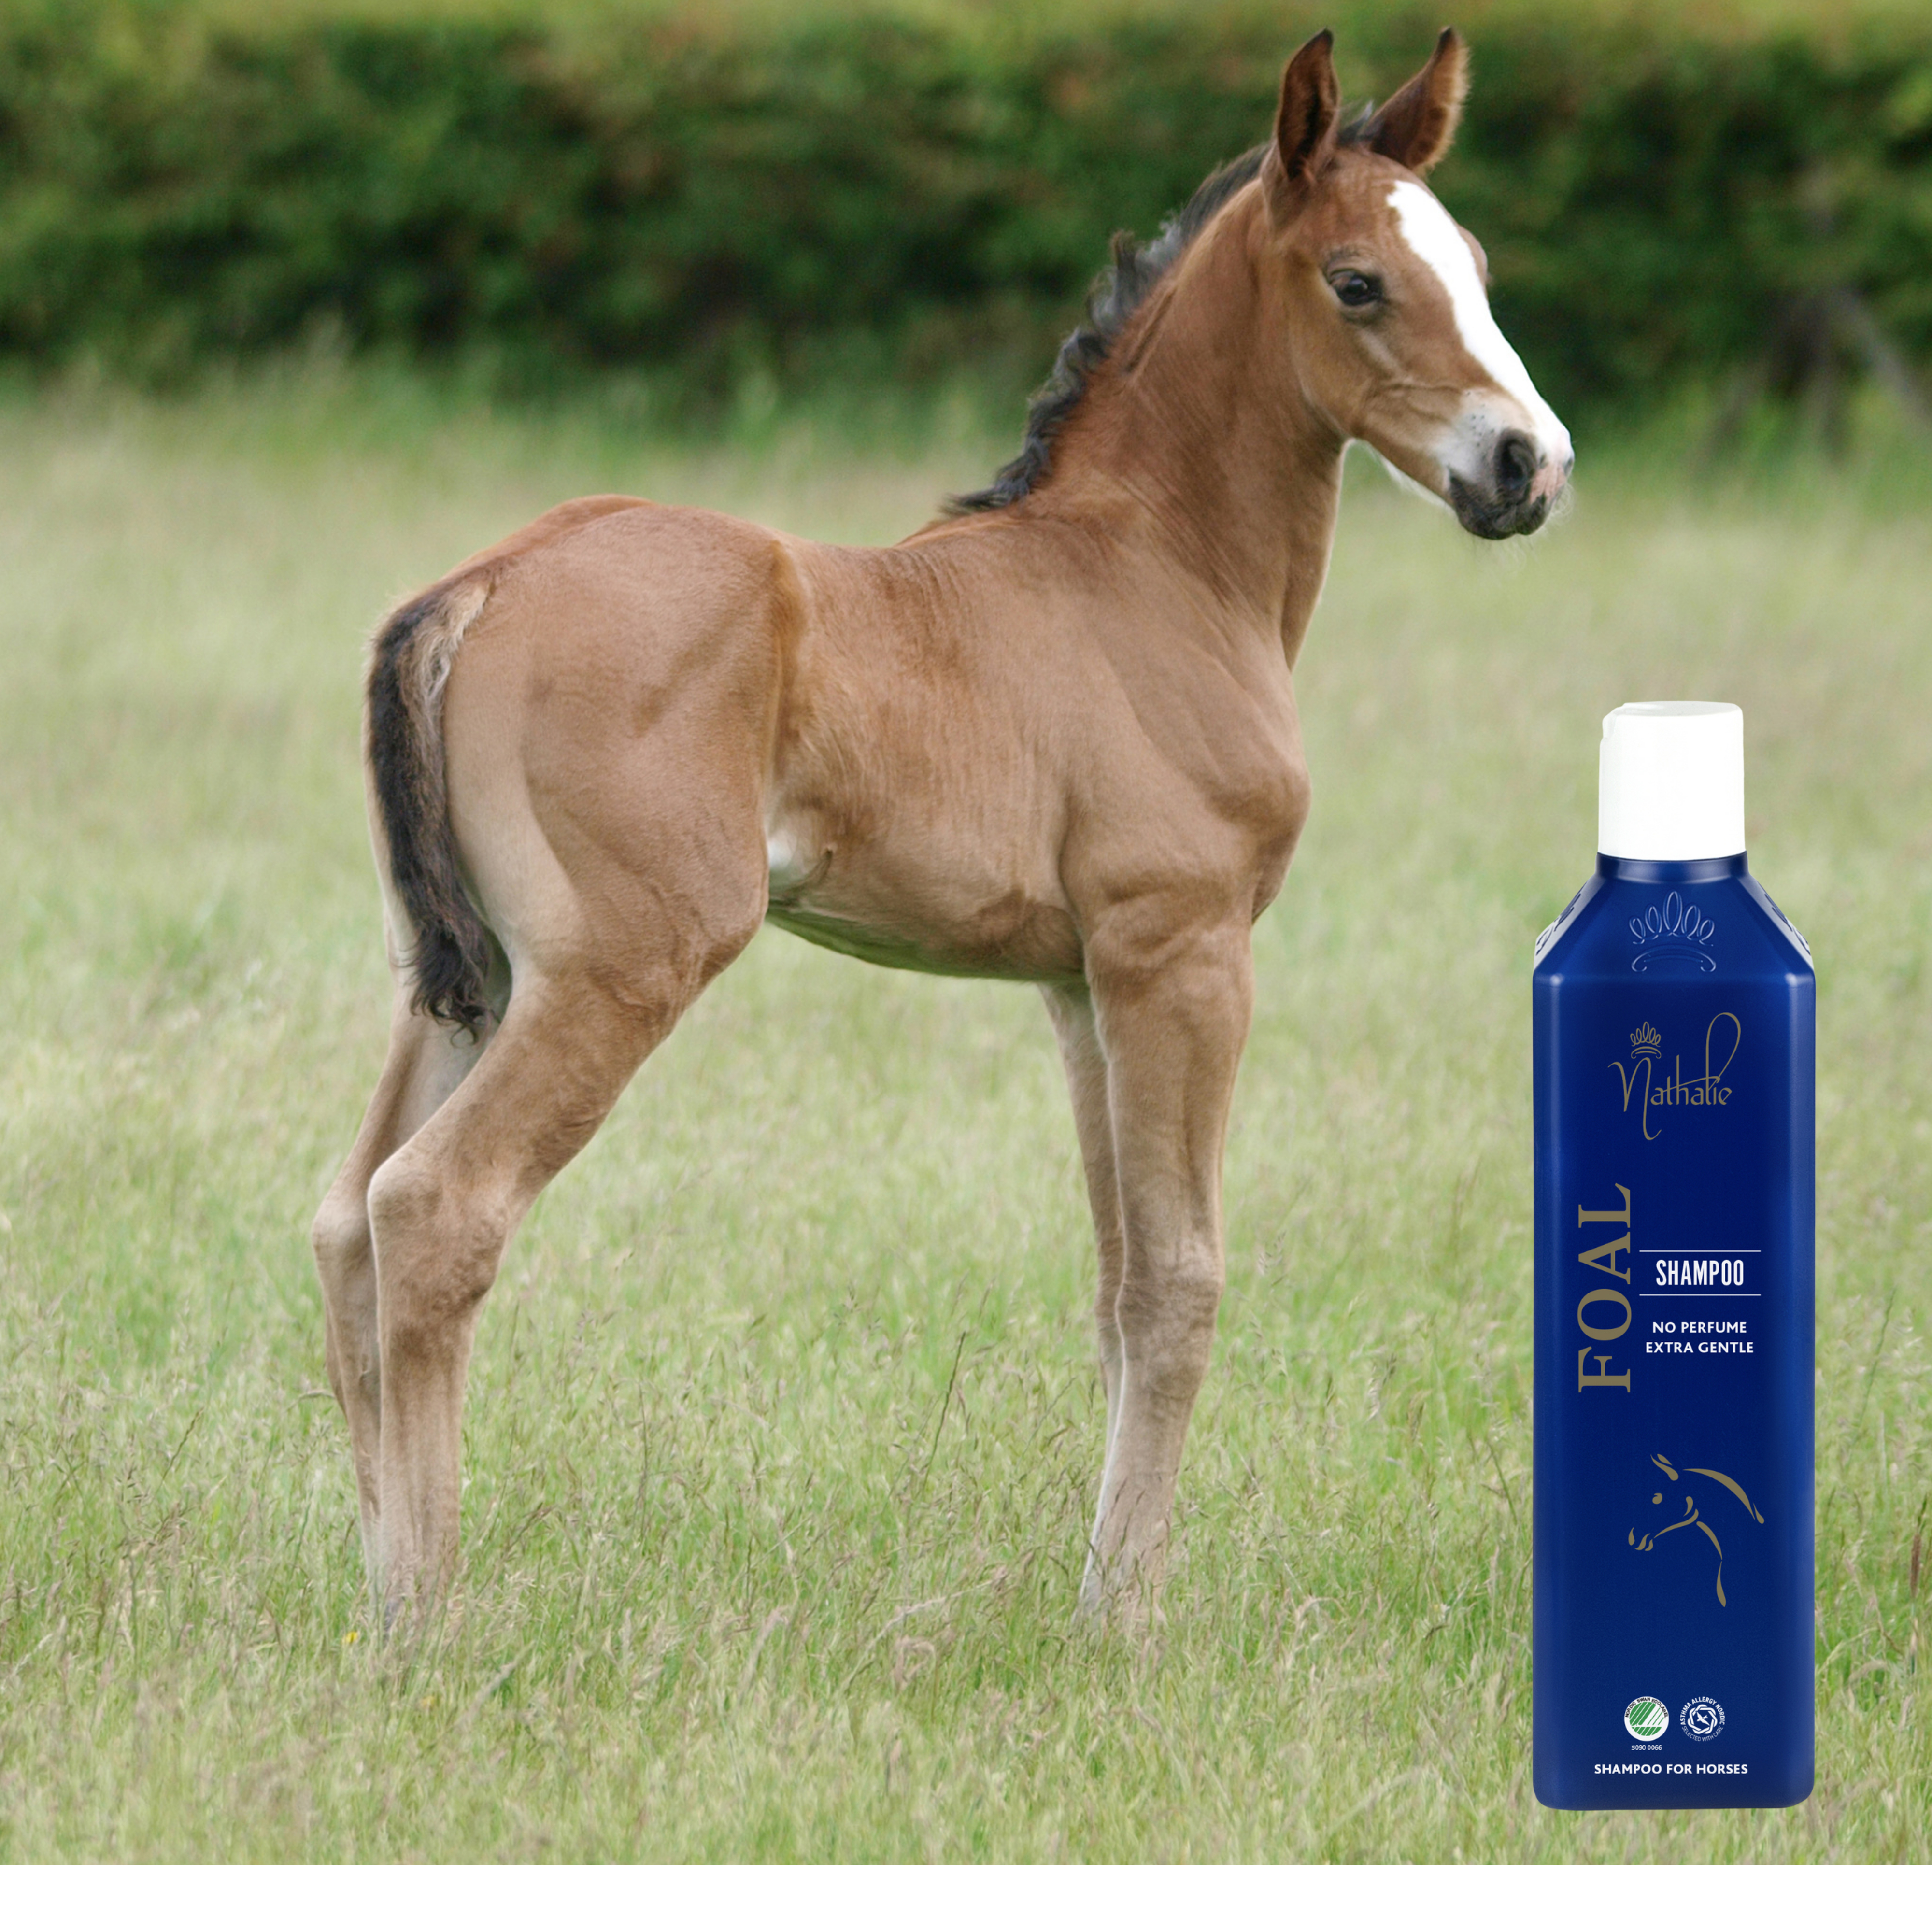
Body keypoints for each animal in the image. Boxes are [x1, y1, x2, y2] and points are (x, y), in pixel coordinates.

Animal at [311, 26, 1572, 1629]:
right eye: (1358, 282)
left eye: (1472, 263)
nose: (1528, 465)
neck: (1157, 571)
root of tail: (476, 587)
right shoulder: (1183, 954)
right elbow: (1181, 1279)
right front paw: (1126, 1622)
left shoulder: (1077, 986)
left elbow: (1115, 1286)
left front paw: (1102, 1591)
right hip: (615, 969)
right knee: (436, 1207)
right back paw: (427, 1619)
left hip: (463, 979)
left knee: (347, 1216)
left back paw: (373, 1602)